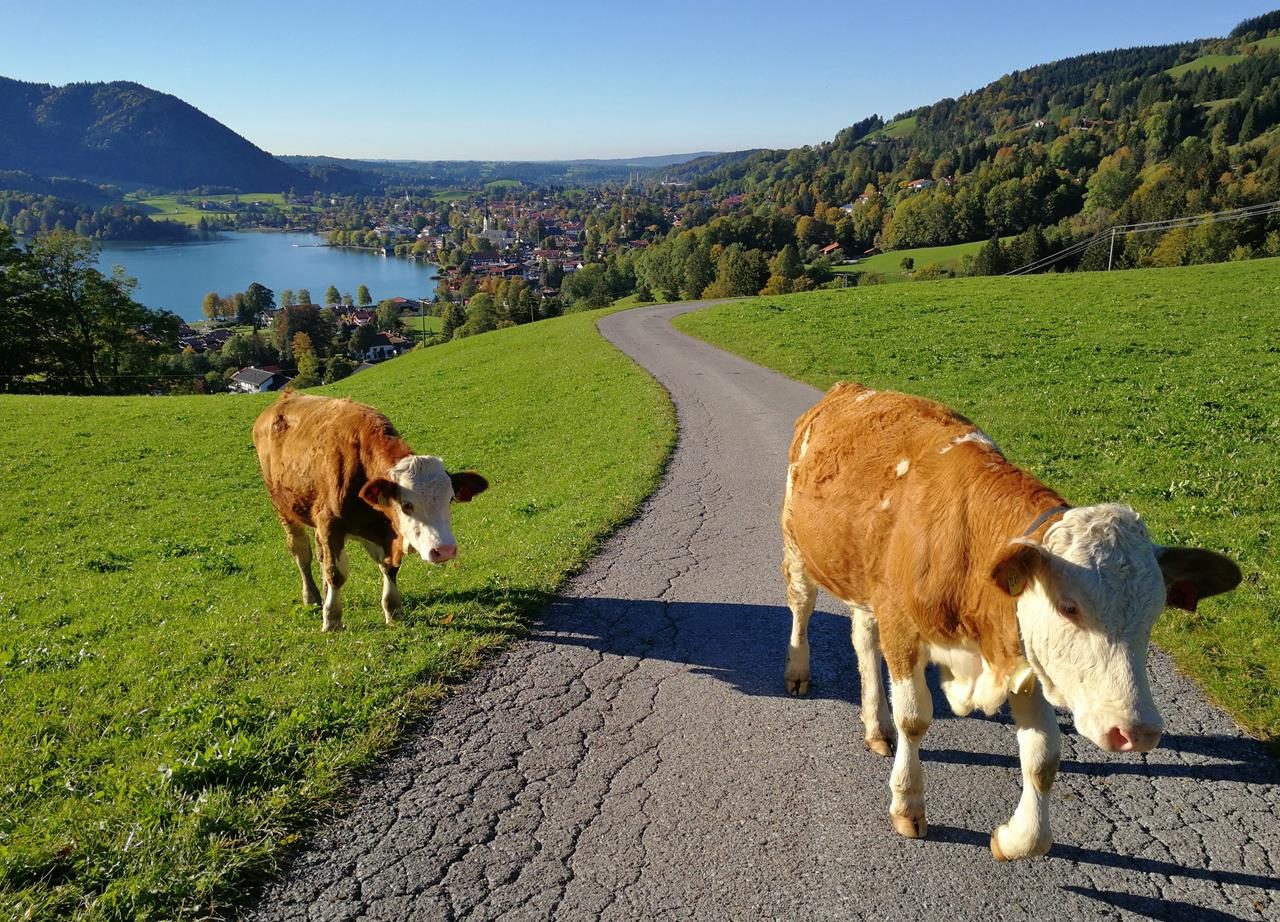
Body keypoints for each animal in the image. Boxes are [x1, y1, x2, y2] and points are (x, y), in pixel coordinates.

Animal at [252, 389, 486, 635]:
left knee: (320, 554)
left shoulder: (384, 532)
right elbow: (335, 573)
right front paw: (332, 619)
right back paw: (312, 597)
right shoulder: (330, 523)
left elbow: (389, 568)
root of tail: (286, 396)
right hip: (283, 508)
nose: (445, 550)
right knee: (301, 553)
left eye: (450, 499)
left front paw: (393, 610)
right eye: (406, 505)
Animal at [778, 379, 1239, 860]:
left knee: (864, 641)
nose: (1138, 731)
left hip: (864, 584)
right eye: (1068, 606)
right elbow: (914, 719)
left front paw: (1015, 838)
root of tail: (851, 388)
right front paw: (907, 803)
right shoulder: (902, 626)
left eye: (1154, 613)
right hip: (797, 547)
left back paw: (876, 725)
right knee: (802, 608)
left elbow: (1043, 757)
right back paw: (799, 672)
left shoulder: (1024, 654)